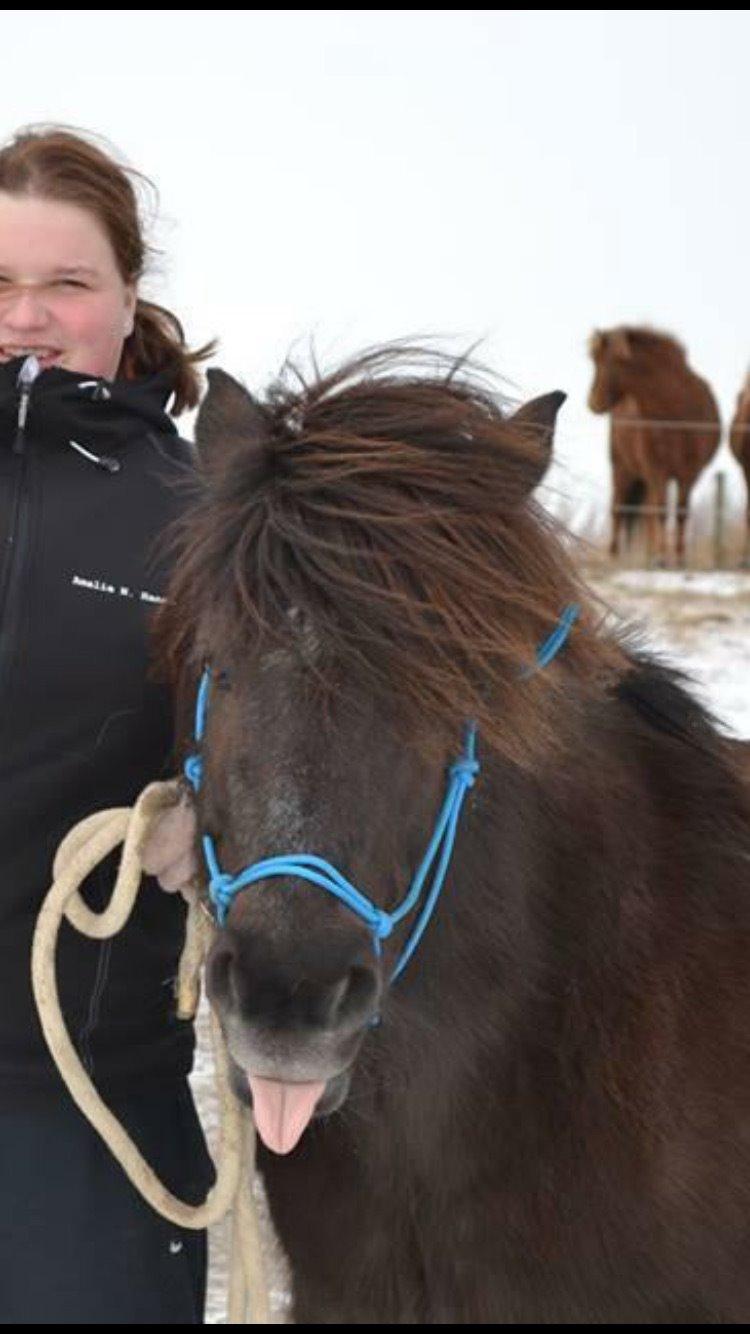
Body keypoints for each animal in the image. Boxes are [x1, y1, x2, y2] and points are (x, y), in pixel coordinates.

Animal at [587, 332, 715, 568]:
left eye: (604, 362)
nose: (593, 402)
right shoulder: (657, 469)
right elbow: (661, 511)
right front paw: (662, 558)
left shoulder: (689, 472)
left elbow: (681, 512)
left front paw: (679, 559)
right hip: (623, 467)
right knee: (619, 508)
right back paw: (614, 556)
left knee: (647, 515)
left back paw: (649, 555)